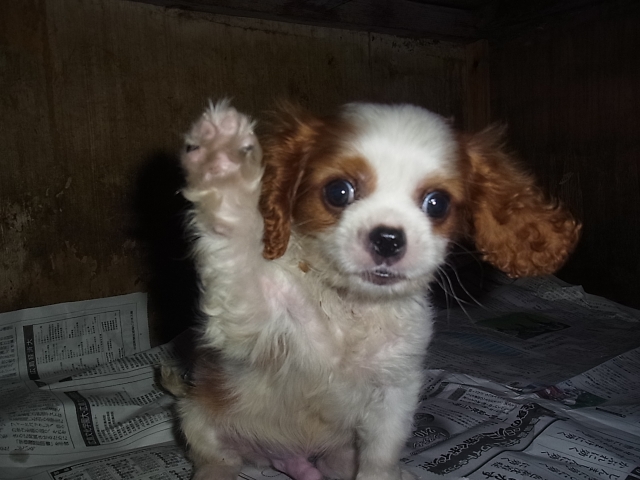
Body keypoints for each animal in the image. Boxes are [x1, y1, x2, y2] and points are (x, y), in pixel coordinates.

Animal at [162, 100, 580, 480]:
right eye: (338, 191)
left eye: (437, 203)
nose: (388, 239)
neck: (353, 307)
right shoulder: (249, 315)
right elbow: (237, 241)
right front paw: (223, 161)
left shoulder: (395, 391)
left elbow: (381, 456)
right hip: (198, 417)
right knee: (218, 459)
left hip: (337, 451)